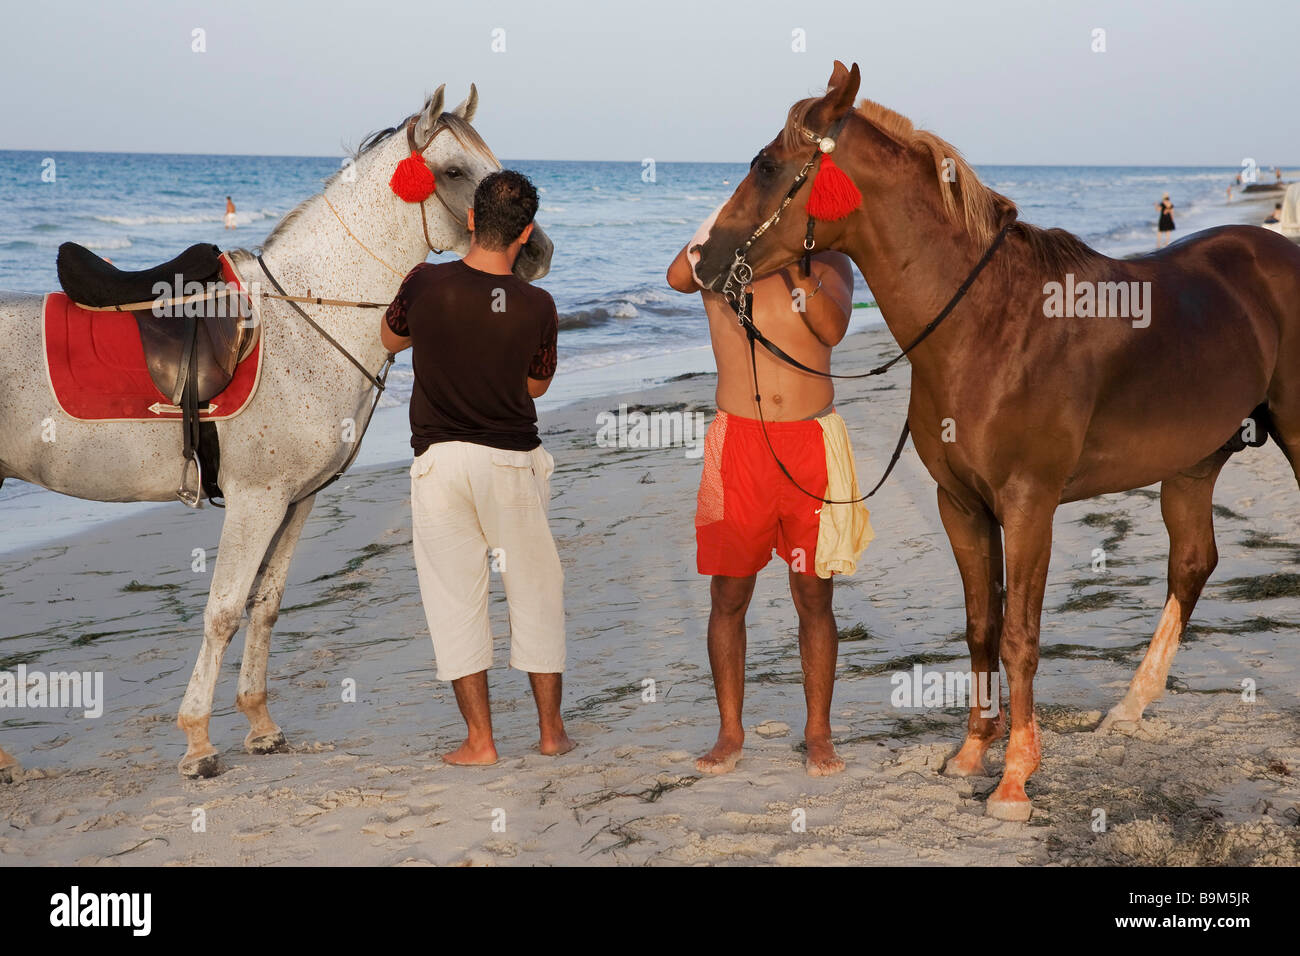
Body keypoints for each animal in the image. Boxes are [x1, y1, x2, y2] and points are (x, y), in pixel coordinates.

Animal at [0, 85, 553, 780]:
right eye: (455, 171)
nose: (537, 251)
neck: (305, 319)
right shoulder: (255, 500)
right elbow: (223, 610)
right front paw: (198, 743)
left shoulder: (295, 500)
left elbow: (264, 603)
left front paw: (260, 726)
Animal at [696, 59, 1300, 822]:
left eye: (768, 164)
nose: (703, 259)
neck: (986, 326)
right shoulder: (961, 505)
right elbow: (981, 625)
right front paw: (971, 752)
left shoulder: (1028, 504)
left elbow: (1019, 635)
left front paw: (1015, 779)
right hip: (1194, 464)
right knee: (1191, 565)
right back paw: (1129, 707)